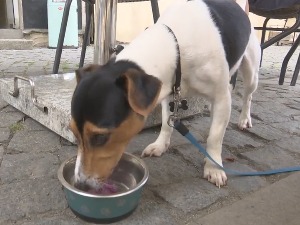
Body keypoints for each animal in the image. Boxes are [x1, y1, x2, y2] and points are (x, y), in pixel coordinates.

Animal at [70, 0, 260, 190]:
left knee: (247, 97)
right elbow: (166, 124)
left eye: (100, 137)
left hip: (251, 73)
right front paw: (160, 145)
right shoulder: (169, 92)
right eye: (74, 133)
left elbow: (214, 137)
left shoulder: (221, 98)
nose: (80, 184)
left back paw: (244, 119)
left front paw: (214, 168)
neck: (176, 48)